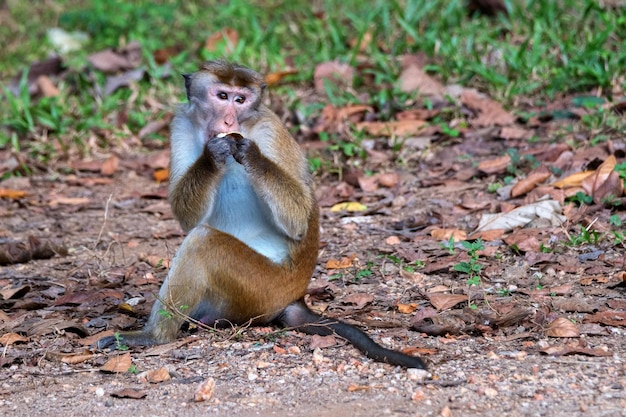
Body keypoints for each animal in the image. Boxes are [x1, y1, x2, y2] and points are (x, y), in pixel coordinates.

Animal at [97, 61, 426, 368]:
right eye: (222, 96)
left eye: (241, 100)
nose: (229, 119)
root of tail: (293, 296)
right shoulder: (181, 124)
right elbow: (187, 216)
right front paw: (211, 156)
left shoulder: (270, 129)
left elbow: (298, 219)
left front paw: (249, 154)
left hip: (262, 289)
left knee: (202, 242)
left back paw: (154, 337)